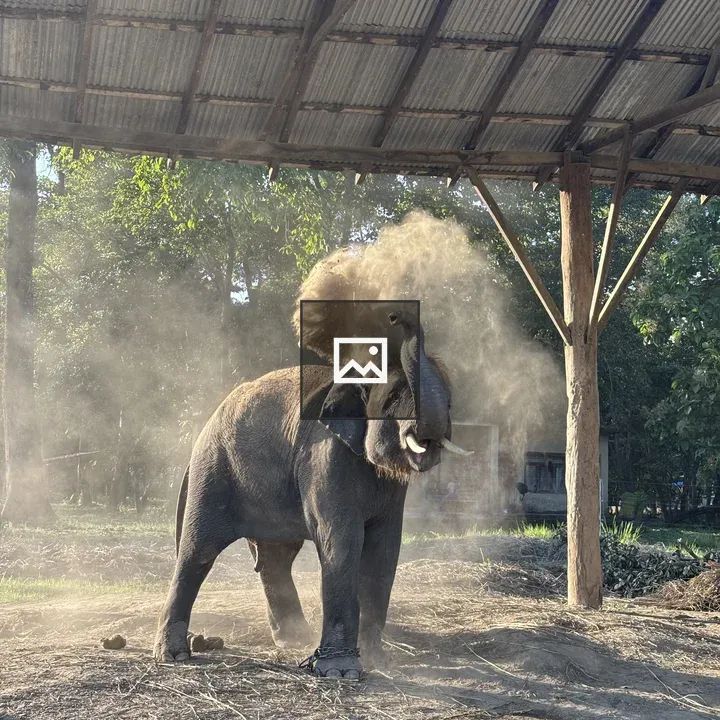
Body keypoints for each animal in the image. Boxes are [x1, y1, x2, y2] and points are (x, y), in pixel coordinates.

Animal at [153, 310, 471, 678]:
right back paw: (174, 655)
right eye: (392, 400)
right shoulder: (325, 455)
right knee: (198, 551)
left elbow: (384, 549)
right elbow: (342, 541)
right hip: (214, 469)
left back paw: (294, 640)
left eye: (450, 403)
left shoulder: (390, 487)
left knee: (276, 558)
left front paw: (376, 662)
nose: (396, 315)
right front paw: (340, 672)